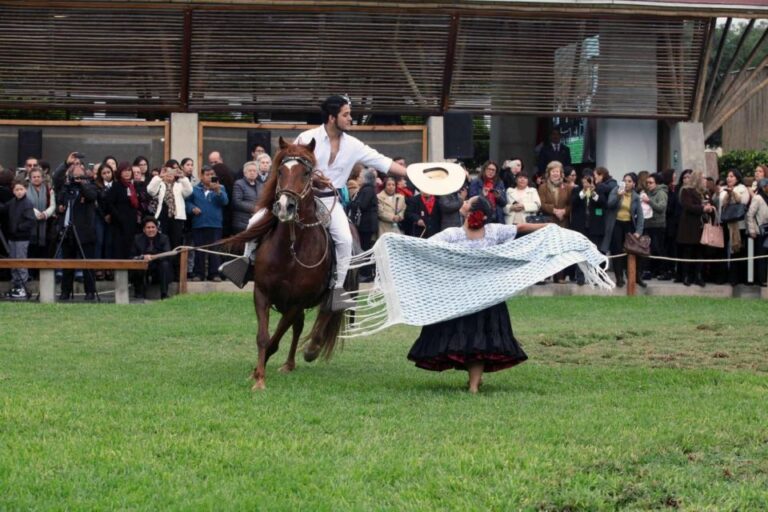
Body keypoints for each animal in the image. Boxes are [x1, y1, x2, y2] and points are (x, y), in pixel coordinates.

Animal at [226, 138, 350, 390]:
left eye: (306, 173)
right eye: (281, 171)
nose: (285, 206)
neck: (290, 249)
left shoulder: (296, 302)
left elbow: (276, 338)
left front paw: (259, 374)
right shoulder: (262, 293)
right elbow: (264, 338)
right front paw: (258, 376)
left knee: (325, 312)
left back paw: (311, 349)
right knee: (298, 326)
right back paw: (289, 363)